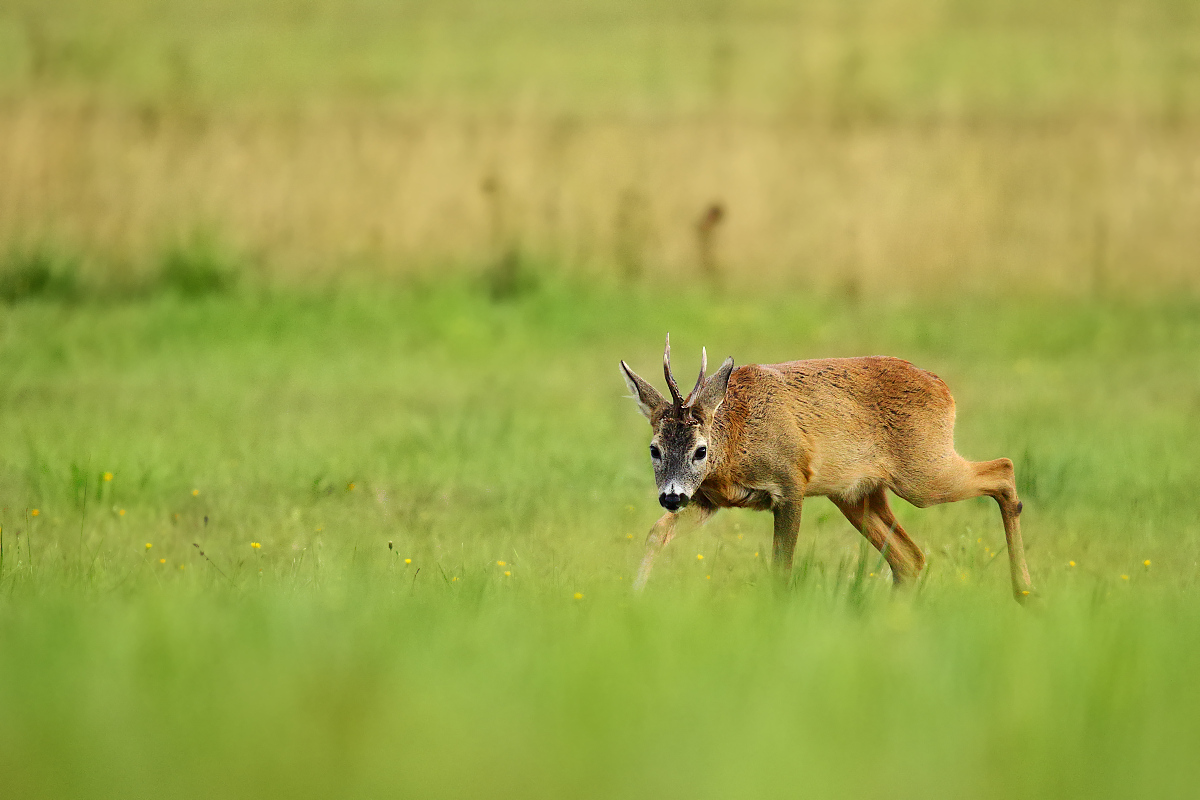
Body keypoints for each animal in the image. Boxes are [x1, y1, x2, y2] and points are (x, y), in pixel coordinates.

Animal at [619, 335, 1032, 604]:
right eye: (654, 450)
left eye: (700, 451)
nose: (671, 496)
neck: (736, 441)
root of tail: (943, 387)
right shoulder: (708, 499)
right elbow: (656, 533)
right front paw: (634, 597)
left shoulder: (791, 483)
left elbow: (781, 565)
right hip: (857, 494)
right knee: (910, 558)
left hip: (923, 470)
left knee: (1004, 469)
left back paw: (1025, 591)